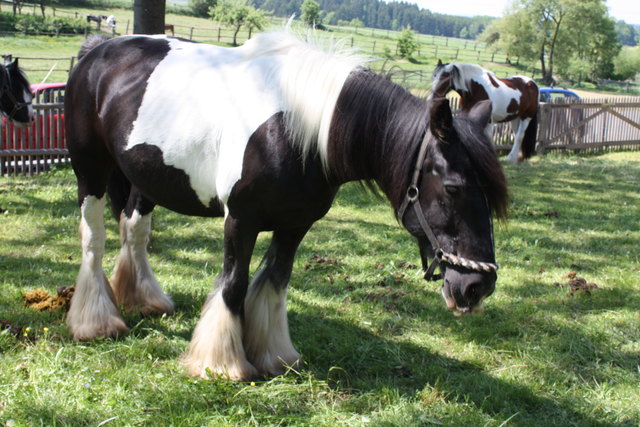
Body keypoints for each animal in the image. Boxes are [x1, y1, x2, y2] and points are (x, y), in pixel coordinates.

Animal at [64, 32, 508, 380]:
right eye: (453, 187)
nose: (477, 287)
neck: (297, 130)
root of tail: (97, 50)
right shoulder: (240, 221)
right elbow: (234, 284)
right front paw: (221, 364)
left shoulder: (295, 225)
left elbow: (275, 282)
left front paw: (274, 356)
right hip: (90, 172)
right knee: (94, 238)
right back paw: (96, 322)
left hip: (145, 178)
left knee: (134, 230)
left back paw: (144, 300)